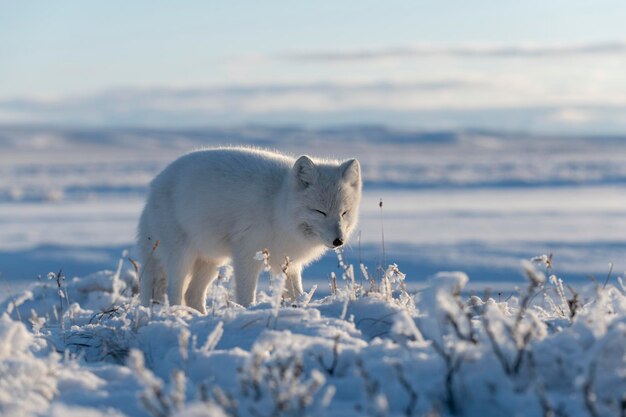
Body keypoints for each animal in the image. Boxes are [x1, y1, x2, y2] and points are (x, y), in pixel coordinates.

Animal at [136, 148, 360, 310]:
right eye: (319, 211)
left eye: (344, 213)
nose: (338, 241)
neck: (277, 206)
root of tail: (153, 187)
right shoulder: (247, 254)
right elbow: (245, 293)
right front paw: (247, 310)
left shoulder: (288, 263)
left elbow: (296, 293)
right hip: (181, 257)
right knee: (175, 292)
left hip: (210, 261)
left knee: (192, 294)